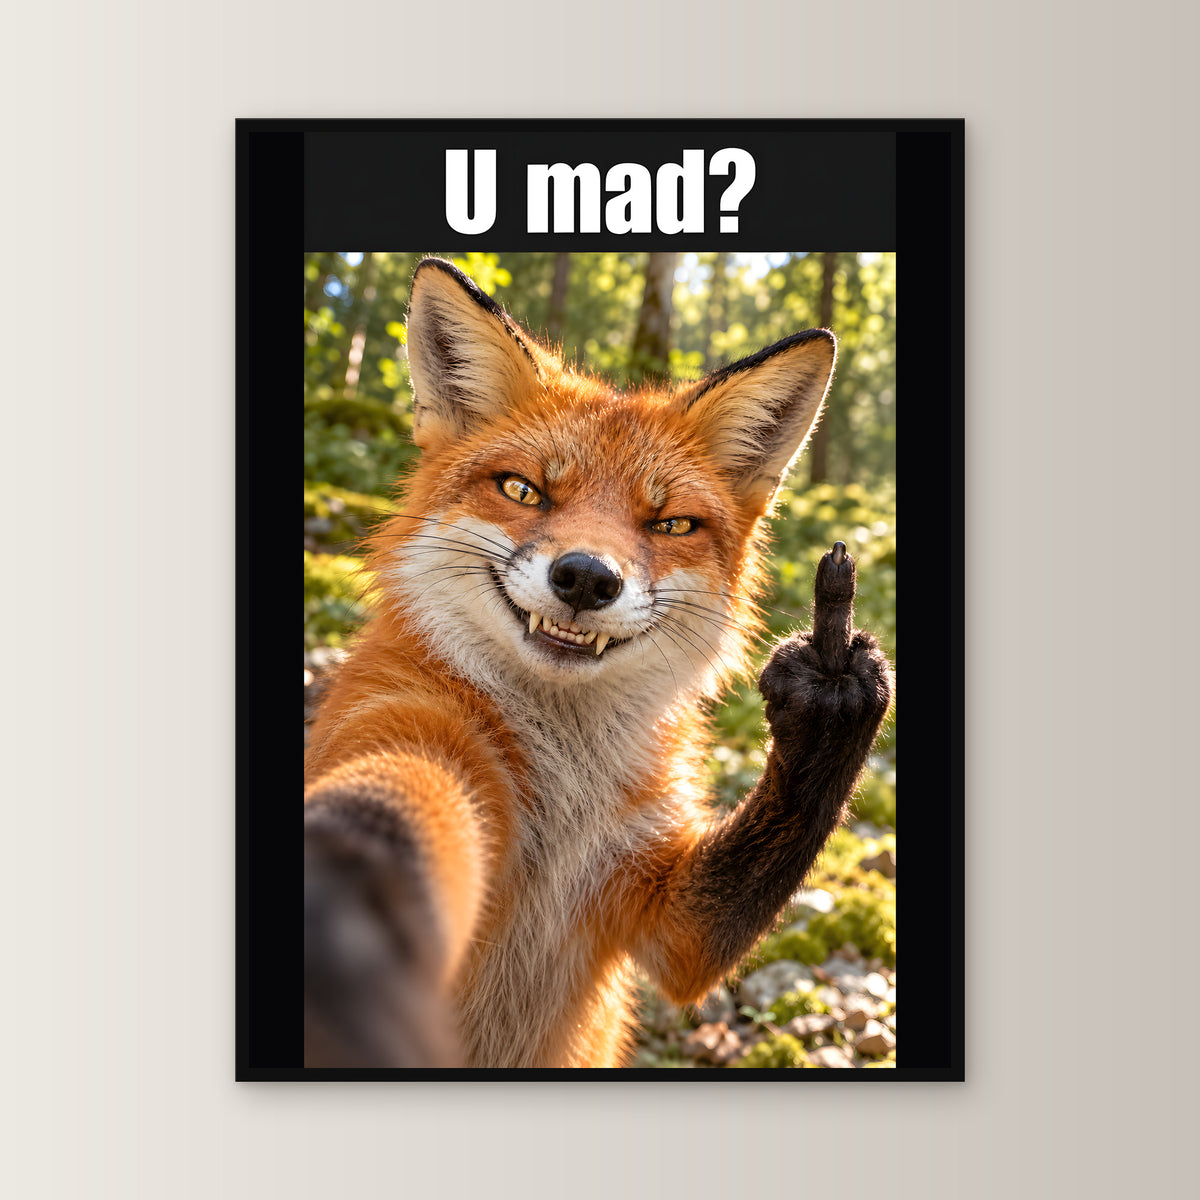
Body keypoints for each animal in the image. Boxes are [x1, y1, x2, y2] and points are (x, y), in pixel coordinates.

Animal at [303, 257, 893, 1069]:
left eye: (670, 524)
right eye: (523, 489)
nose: (585, 578)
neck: (565, 797)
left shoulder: (669, 920)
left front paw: (830, 696)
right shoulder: (406, 730)